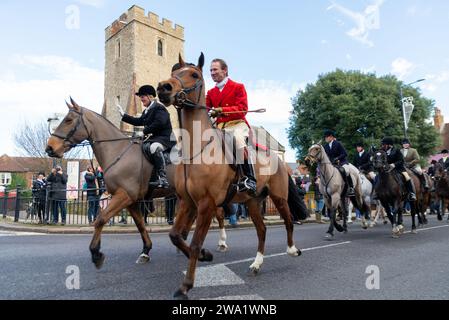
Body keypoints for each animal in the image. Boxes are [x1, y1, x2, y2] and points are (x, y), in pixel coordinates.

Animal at [157, 53, 300, 300]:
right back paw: (256, 264)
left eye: (194, 74)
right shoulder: (187, 202)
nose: (163, 88)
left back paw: (291, 250)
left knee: (289, 221)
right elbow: (176, 235)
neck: (198, 148)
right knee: (262, 230)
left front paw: (186, 285)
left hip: (279, 197)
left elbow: (195, 242)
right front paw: (205, 255)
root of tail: (279, 159)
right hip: (252, 202)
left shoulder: (206, 204)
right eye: (173, 72)